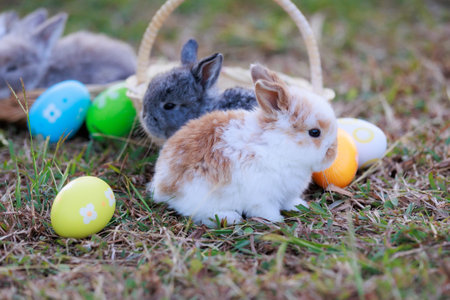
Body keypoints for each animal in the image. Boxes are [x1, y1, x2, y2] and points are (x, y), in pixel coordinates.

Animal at [149, 63, 336, 227]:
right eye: (315, 132)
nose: (333, 154)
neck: (277, 144)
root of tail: (161, 184)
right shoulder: (262, 197)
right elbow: (266, 210)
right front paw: (277, 221)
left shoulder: (287, 193)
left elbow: (290, 201)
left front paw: (300, 206)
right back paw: (231, 217)